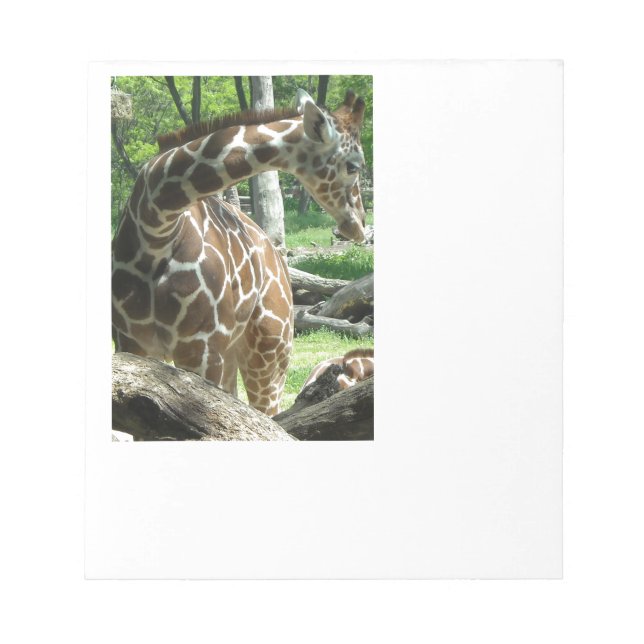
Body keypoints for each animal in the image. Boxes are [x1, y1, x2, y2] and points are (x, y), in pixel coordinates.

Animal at [112, 89, 368, 416]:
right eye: (353, 166)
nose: (359, 224)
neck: (155, 227)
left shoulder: (202, 347)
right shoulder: (130, 342)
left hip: (270, 353)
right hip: (234, 354)